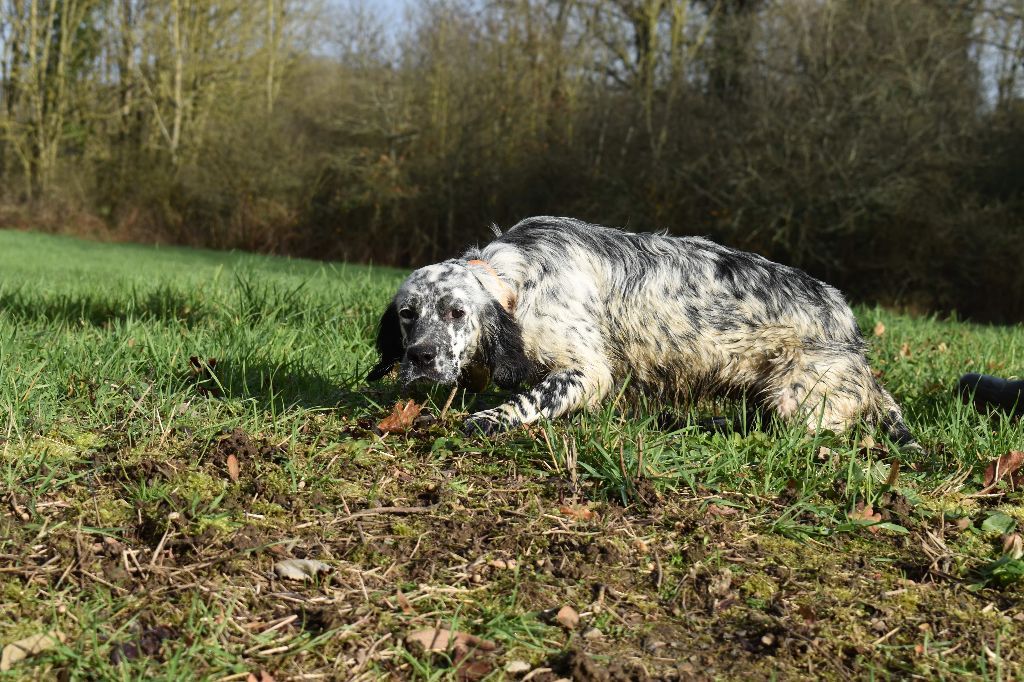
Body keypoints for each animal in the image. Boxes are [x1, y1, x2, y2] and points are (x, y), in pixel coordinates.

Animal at [366, 215, 913, 444]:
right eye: (407, 314)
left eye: (456, 312)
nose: (420, 358)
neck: (519, 278)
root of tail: (854, 338)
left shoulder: (587, 371)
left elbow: (528, 399)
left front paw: (487, 419)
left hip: (799, 399)